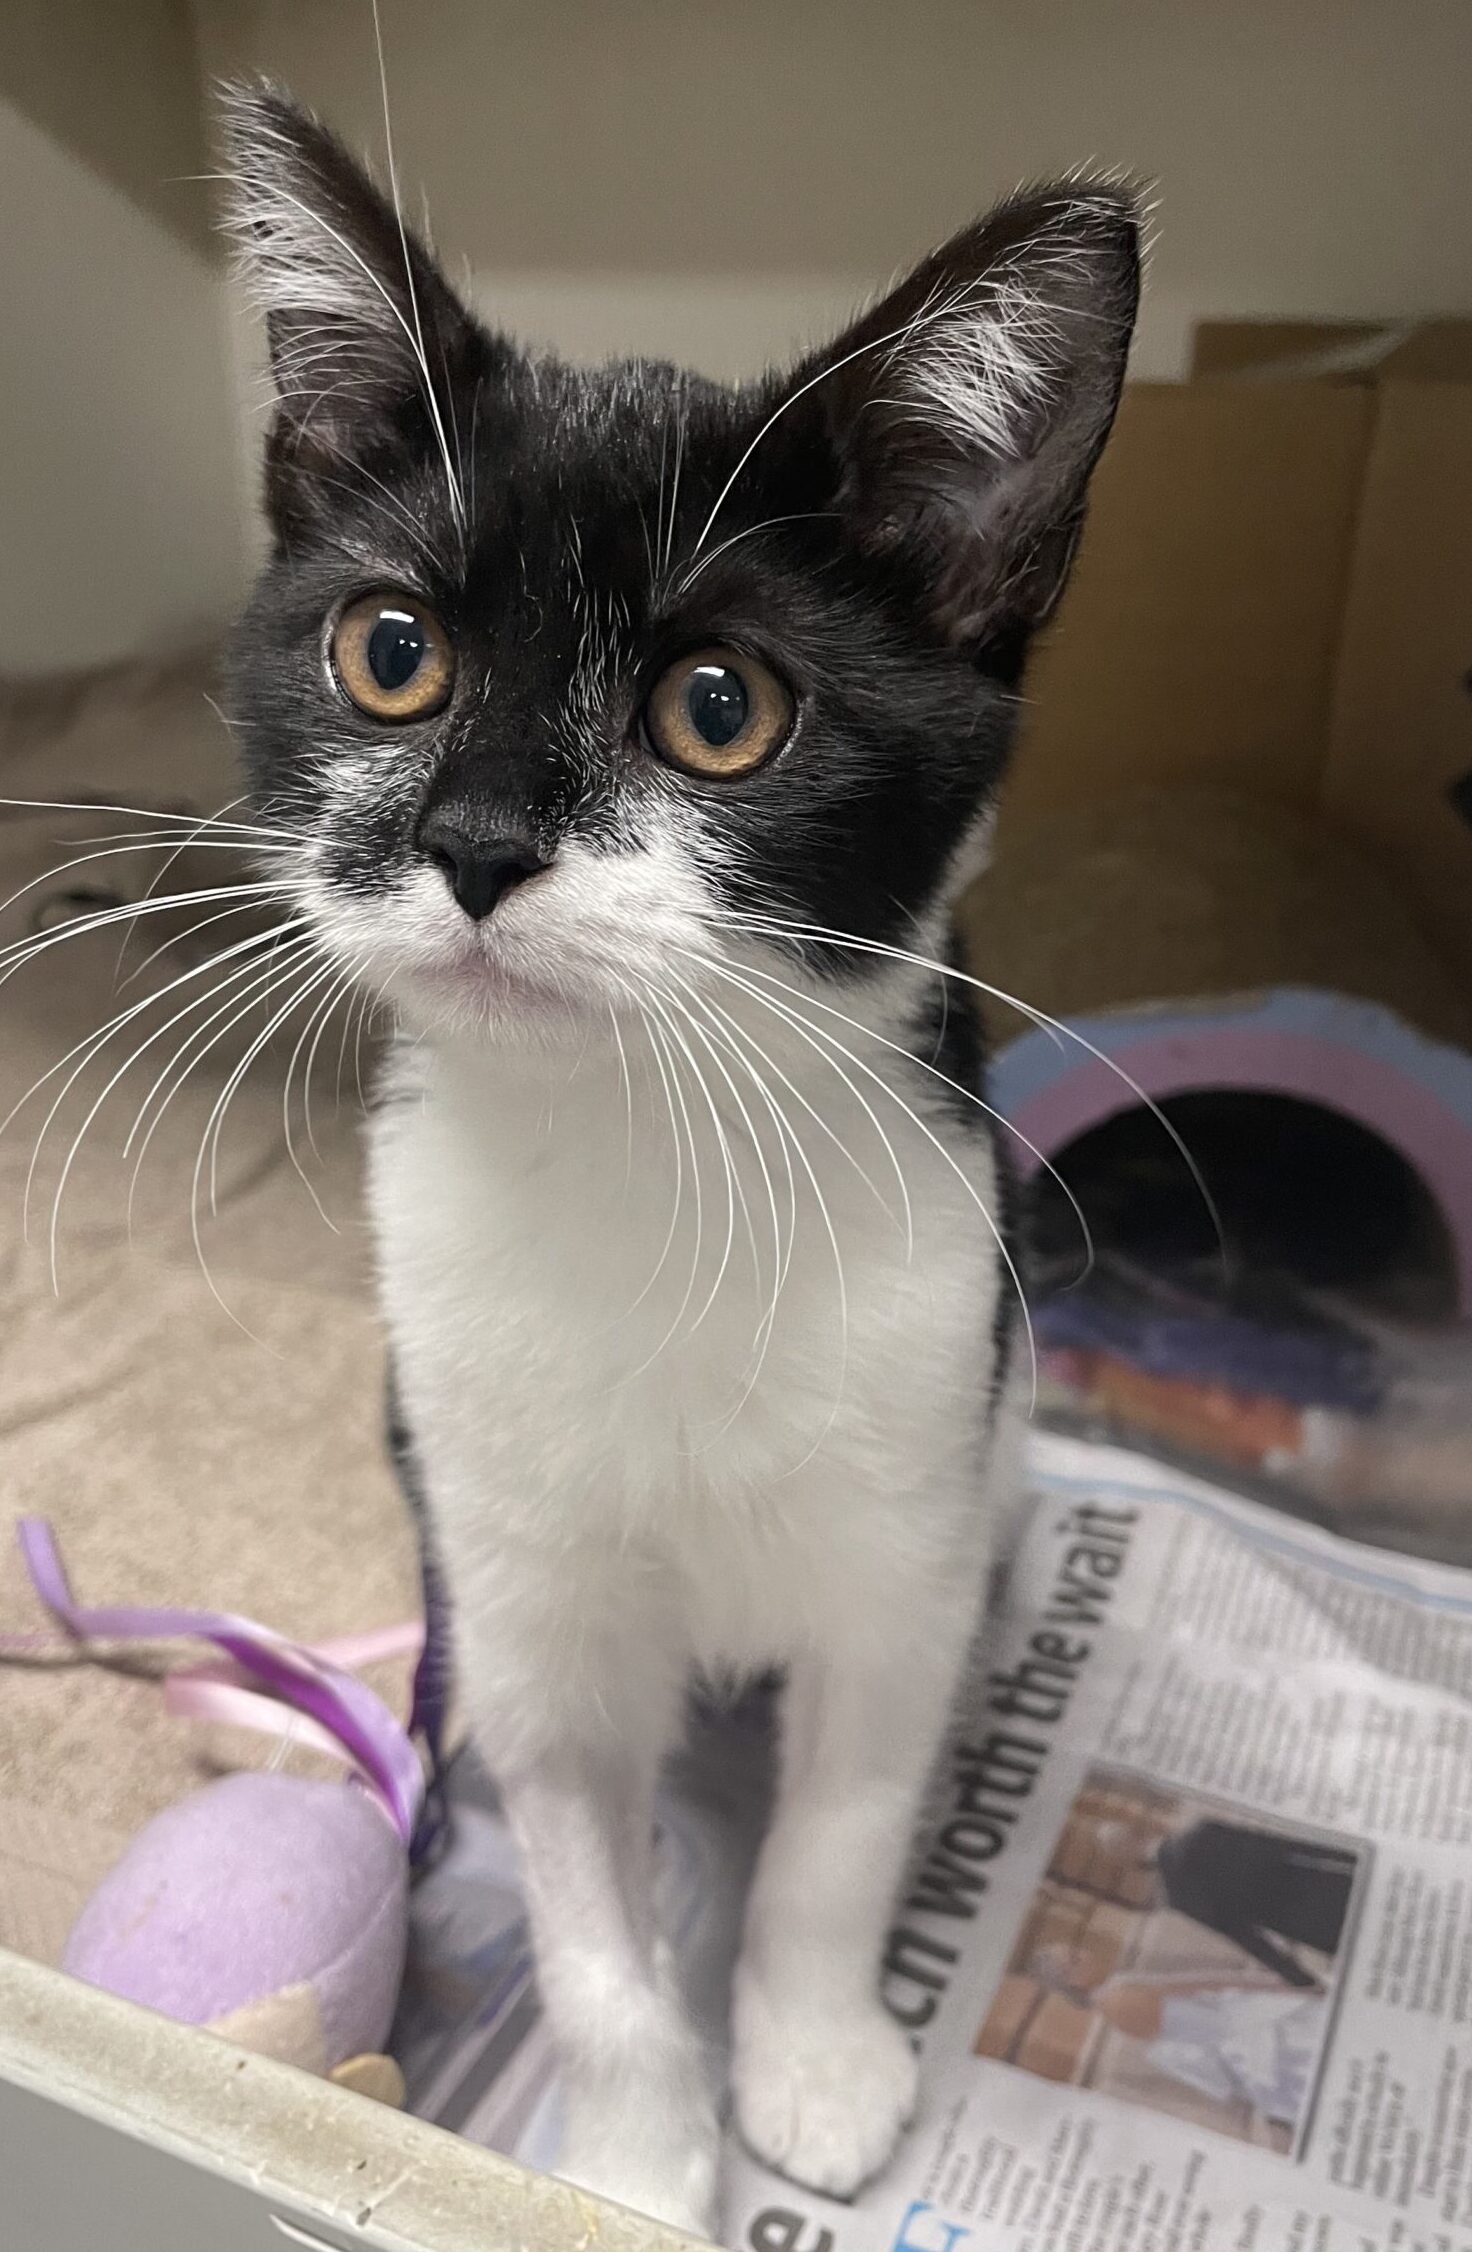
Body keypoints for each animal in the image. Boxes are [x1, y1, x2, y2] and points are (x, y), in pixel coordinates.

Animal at [221, 85, 1139, 2235]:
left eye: (720, 706)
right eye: (388, 652)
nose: (475, 840)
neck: (644, 1169)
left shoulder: (900, 1499)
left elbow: (839, 1827)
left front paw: (811, 2063)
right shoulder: (521, 1599)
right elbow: (587, 1918)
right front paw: (631, 2161)